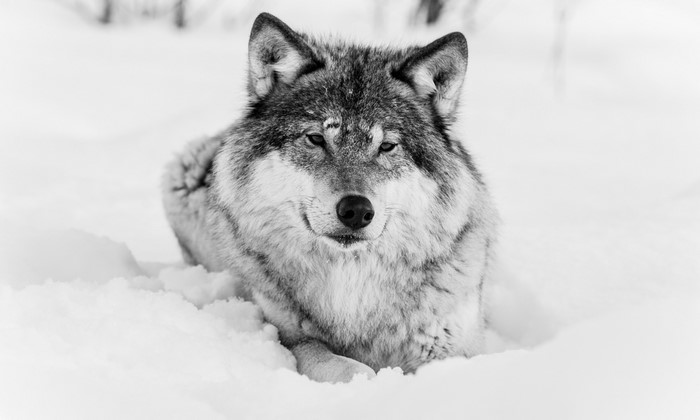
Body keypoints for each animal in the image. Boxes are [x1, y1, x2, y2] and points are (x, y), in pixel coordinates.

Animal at [162, 13, 498, 383]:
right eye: (316, 139)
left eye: (387, 146)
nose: (356, 211)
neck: (351, 284)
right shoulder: (288, 333)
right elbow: (345, 366)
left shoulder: (455, 345)